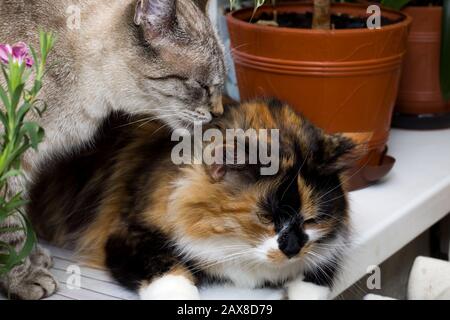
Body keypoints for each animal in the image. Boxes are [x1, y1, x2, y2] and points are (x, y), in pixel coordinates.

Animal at [0, 0, 225, 300]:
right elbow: (11, 229)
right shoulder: (12, 158)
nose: (218, 113)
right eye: (203, 86)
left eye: (220, 84)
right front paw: (23, 278)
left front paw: (33, 257)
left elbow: (21, 216)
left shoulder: (27, 162)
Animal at [28, 100, 360, 300]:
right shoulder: (125, 234)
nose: (291, 249)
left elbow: (316, 273)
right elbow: (171, 275)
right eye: (265, 217)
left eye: (312, 219)